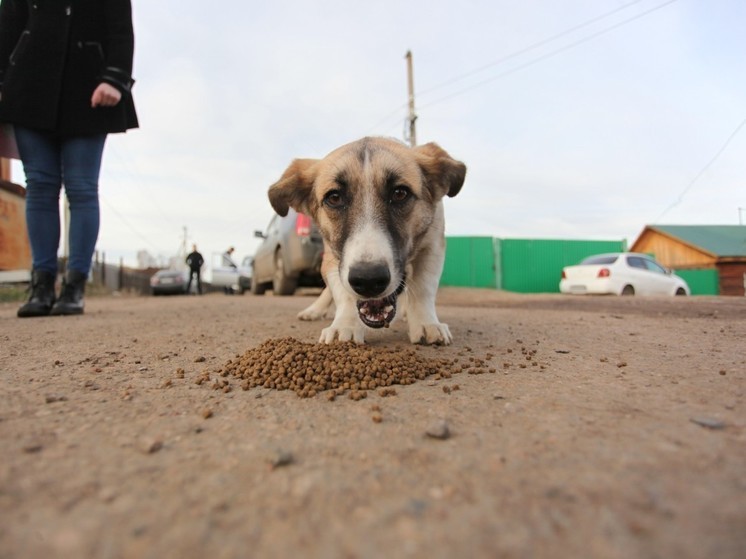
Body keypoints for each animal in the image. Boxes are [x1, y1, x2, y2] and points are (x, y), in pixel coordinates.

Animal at [268, 136, 464, 346]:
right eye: (334, 198)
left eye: (400, 193)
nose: (368, 279)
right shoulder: (333, 257)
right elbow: (344, 294)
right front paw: (345, 325)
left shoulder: (432, 246)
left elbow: (423, 288)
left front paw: (425, 323)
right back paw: (314, 310)